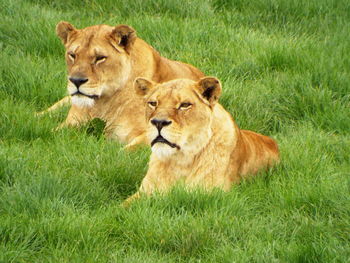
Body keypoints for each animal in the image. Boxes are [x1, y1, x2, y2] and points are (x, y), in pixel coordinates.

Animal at [38, 21, 204, 146]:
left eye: (100, 58)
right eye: (72, 55)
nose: (76, 81)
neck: (103, 102)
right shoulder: (68, 125)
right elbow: (47, 134)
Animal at [124, 76, 280, 204]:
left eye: (184, 105)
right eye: (153, 103)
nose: (158, 122)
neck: (179, 161)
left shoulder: (211, 193)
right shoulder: (143, 192)